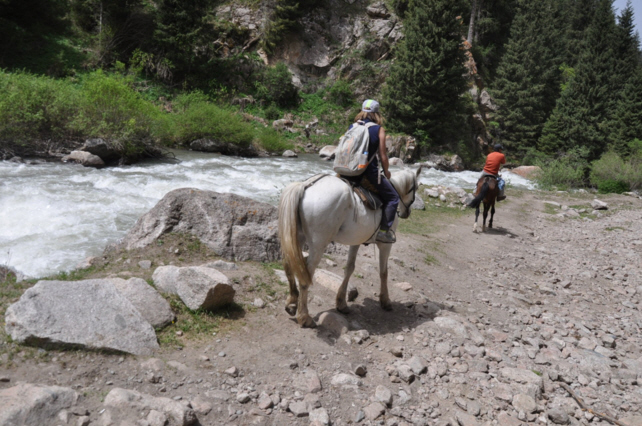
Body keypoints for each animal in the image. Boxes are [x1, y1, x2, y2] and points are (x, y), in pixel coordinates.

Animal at [278, 167, 423, 328]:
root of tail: (306, 186)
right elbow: (383, 272)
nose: (406, 213)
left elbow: (349, 268)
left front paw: (341, 303)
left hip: (297, 237)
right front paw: (385, 300)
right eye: (415, 187)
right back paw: (304, 317)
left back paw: (292, 303)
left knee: (288, 265)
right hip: (318, 245)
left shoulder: (356, 242)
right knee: (305, 275)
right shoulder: (385, 244)